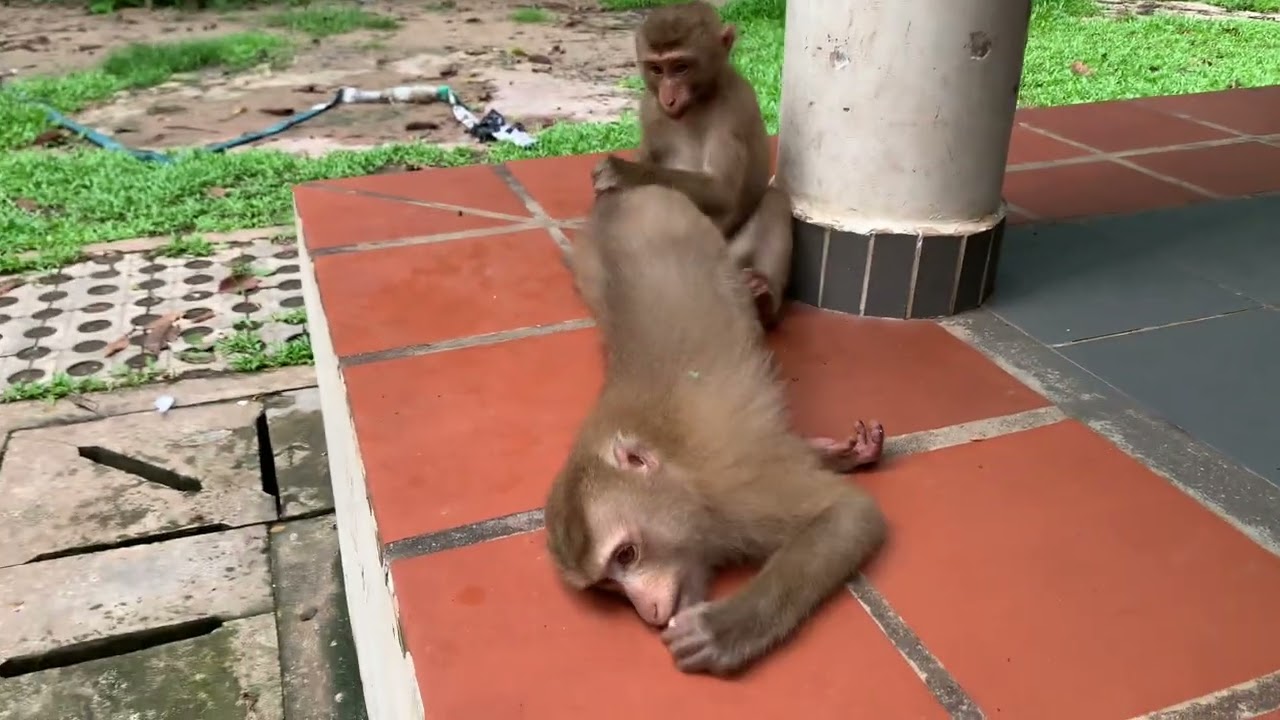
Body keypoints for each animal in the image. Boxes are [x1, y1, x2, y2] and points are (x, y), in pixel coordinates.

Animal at [545, 184, 888, 676]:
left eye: (627, 555)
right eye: (608, 584)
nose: (648, 613)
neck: (682, 473)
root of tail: (624, 194)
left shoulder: (737, 494)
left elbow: (851, 514)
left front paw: (723, 629)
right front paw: (832, 453)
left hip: (679, 215)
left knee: (773, 202)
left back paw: (763, 294)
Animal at [589, 0, 794, 331]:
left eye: (681, 67)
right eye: (657, 69)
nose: (669, 97)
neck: (700, 98)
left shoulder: (732, 108)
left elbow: (722, 191)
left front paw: (620, 171)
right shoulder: (650, 107)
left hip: (730, 257)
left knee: (774, 199)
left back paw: (765, 301)